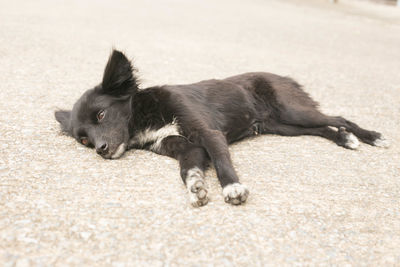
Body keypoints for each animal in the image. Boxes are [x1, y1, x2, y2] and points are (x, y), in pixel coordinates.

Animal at [54, 50, 390, 209]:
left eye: (101, 114)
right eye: (83, 140)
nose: (101, 150)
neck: (144, 115)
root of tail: (282, 76)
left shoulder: (208, 134)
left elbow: (221, 161)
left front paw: (232, 188)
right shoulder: (185, 146)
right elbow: (188, 168)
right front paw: (196, 186)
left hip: (293, 111)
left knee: (338, 117)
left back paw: (370, 136)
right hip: (282, 126)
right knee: (323, 128)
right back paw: (344, 139)